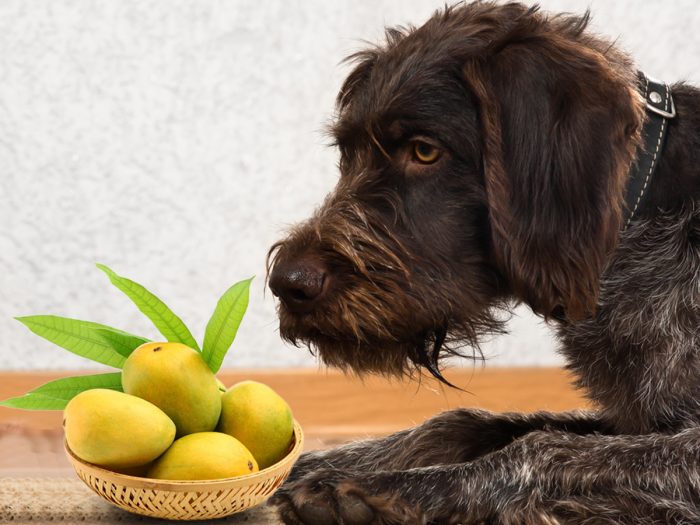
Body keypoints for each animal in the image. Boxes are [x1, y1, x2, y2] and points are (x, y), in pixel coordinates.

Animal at [266, 2, 696, 520]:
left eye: (425, 150)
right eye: (348, 154)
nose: (286, 283)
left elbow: (541, 446)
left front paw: (392, 490)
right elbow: (463, 422)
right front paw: (312, 463)